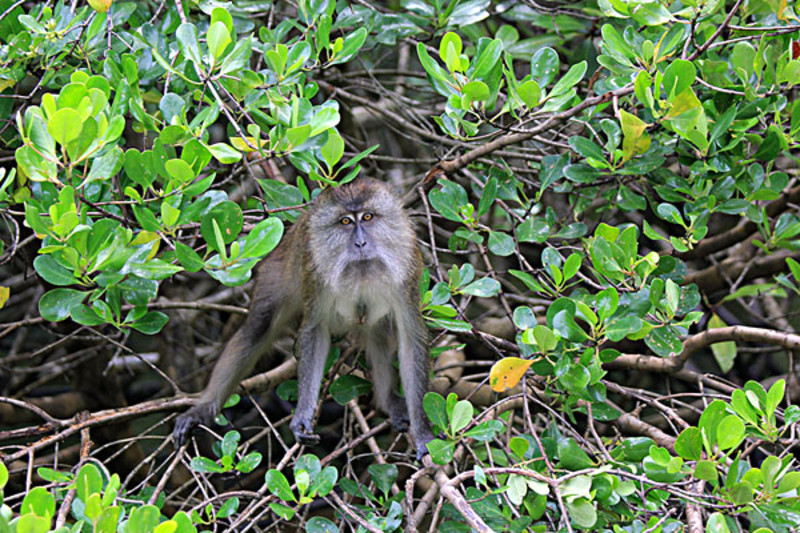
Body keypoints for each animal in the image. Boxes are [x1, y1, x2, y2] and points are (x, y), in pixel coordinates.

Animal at [174, 178, 434, 458]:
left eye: (368, 217)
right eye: (345, 222)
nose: (360, 244)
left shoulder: (408, 269)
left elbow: (411, 339)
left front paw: (423, 432)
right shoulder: (314, 271)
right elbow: (314, 331)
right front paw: (302, 415)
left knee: (379, 329)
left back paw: (386, 400)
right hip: (276, 273)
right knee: (257, 329)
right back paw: (204, 408)